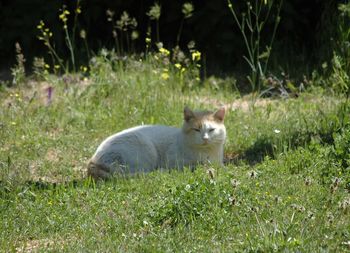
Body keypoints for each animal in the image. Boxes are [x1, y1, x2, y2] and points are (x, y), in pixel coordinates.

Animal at [87, 106, 227, 180]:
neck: (206, 153)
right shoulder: (175, 162)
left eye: (211, 130)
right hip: (145, 147)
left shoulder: (217, 162)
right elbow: (194, 166)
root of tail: (93, 160)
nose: (205, 138)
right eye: (196, 130)